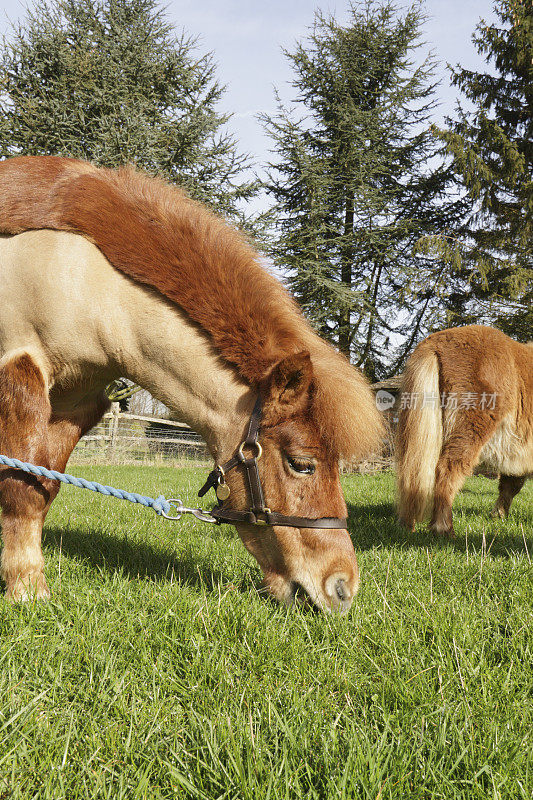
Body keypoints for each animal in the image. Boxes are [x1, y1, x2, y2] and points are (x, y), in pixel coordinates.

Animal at [0, 155, 382, 608]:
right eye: (301, 464)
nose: (342, 587)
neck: (88, 282)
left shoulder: (76, 400)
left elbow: (42, 484)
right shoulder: (20, 367)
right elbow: (21, 487)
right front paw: (26, 587)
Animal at [394, 324, 532, 536]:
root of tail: (435, 342)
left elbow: (510, 485)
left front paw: (498, 515)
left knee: (412, 473)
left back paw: (409, 524)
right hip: (471, 426)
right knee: (447, 470)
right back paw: (444, 529)